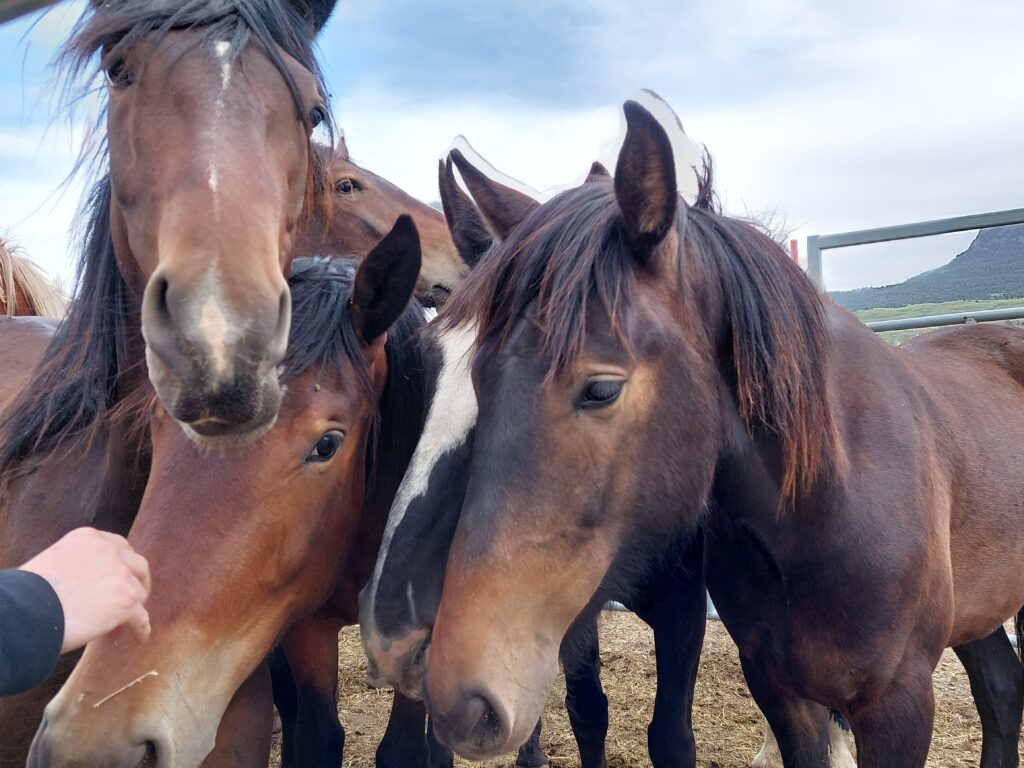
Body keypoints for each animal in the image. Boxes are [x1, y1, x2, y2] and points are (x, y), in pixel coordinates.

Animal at [360, 99, 1024, 768]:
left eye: (600, 389)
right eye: (438, 368)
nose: (399, 644)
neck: (826, 510)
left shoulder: (890, 704)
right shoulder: (772, 687)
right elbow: (588, 709)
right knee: (1001, 690)